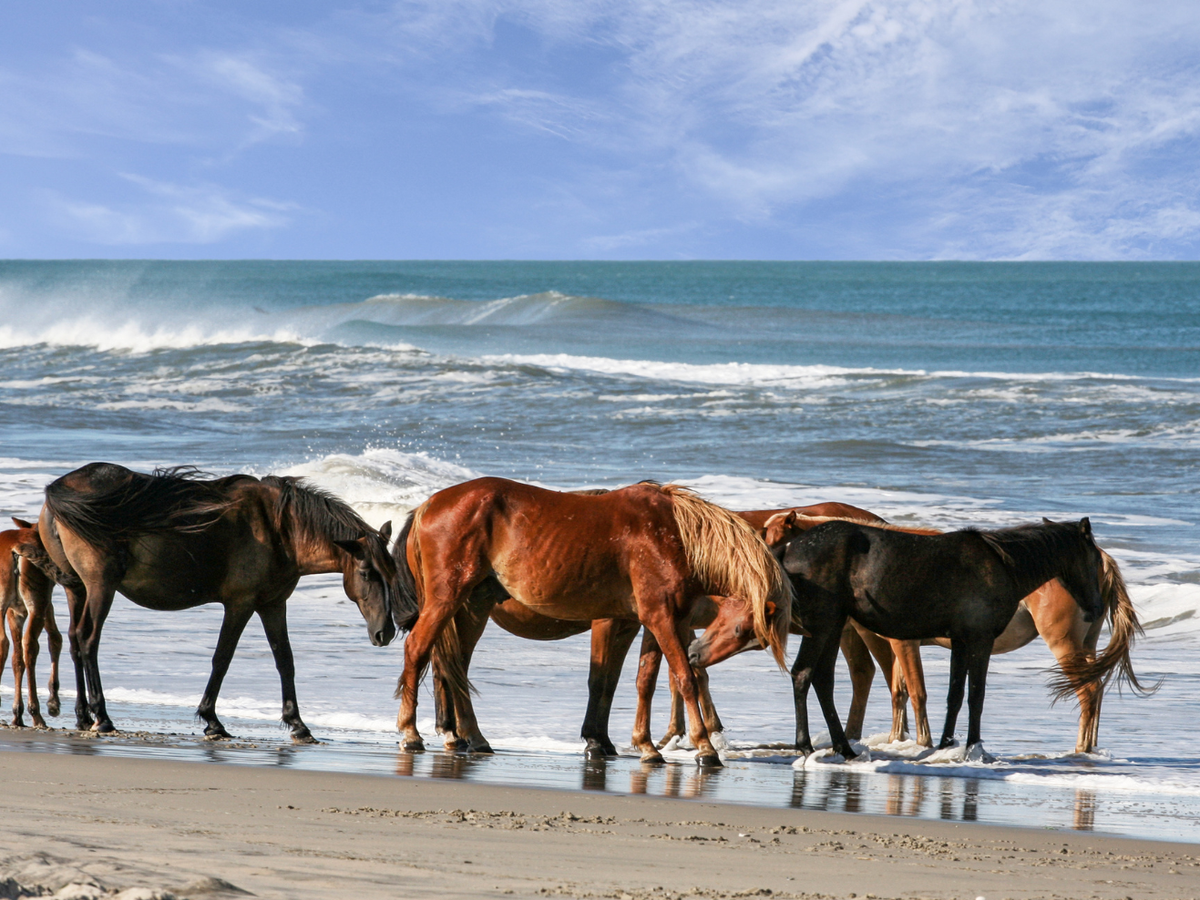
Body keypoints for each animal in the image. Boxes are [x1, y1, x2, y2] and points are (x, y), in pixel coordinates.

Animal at [1, 518, 63, 727]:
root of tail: (15, 550)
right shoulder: (46, 602)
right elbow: (55, 639)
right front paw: (53, 703)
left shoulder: (14, 611)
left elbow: (16, 658)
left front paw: (16, 713)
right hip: (37, 600)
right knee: (30, 645)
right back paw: (36, 713)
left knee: (5, 644)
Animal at [37, 462, 406, 741]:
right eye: (366, 572)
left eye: (391, 572)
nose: (385, 633)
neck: (278, 529)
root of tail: (57, 492)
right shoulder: (240, 604)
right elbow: (222, 658)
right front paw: (212, 720)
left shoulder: (273, 604)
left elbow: (285, 660)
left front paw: (298, 724)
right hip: (101, 586)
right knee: (89, 640)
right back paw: (102, 716)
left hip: (77, 588)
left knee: (75, 640)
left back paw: (83, 716)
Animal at [392, 477, 791, 766]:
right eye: (741, 629)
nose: (700, 652)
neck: (675, 535)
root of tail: (429, 505)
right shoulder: (659, 617)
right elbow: (685, 679)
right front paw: (705, 749)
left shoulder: (656, 621)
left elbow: (635, 681)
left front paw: (643, 745)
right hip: (446, 600)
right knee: (418, 650)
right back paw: (411, 733)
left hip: (472, 607)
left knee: (455, 668)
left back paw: (473, 738)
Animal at [691, 517, 1104, 758]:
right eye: (1094, 560)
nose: (1094, 608)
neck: (1003, 565)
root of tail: (789, 549)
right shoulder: (979, 640)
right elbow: (975, 696)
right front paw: (973, 747)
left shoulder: (961, 641)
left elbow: (955, 695)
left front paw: (946, 745)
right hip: (825, 625)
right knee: (804, 675)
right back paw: (810, 745)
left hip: (830, 627)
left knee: (820, 680)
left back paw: (843, 747)